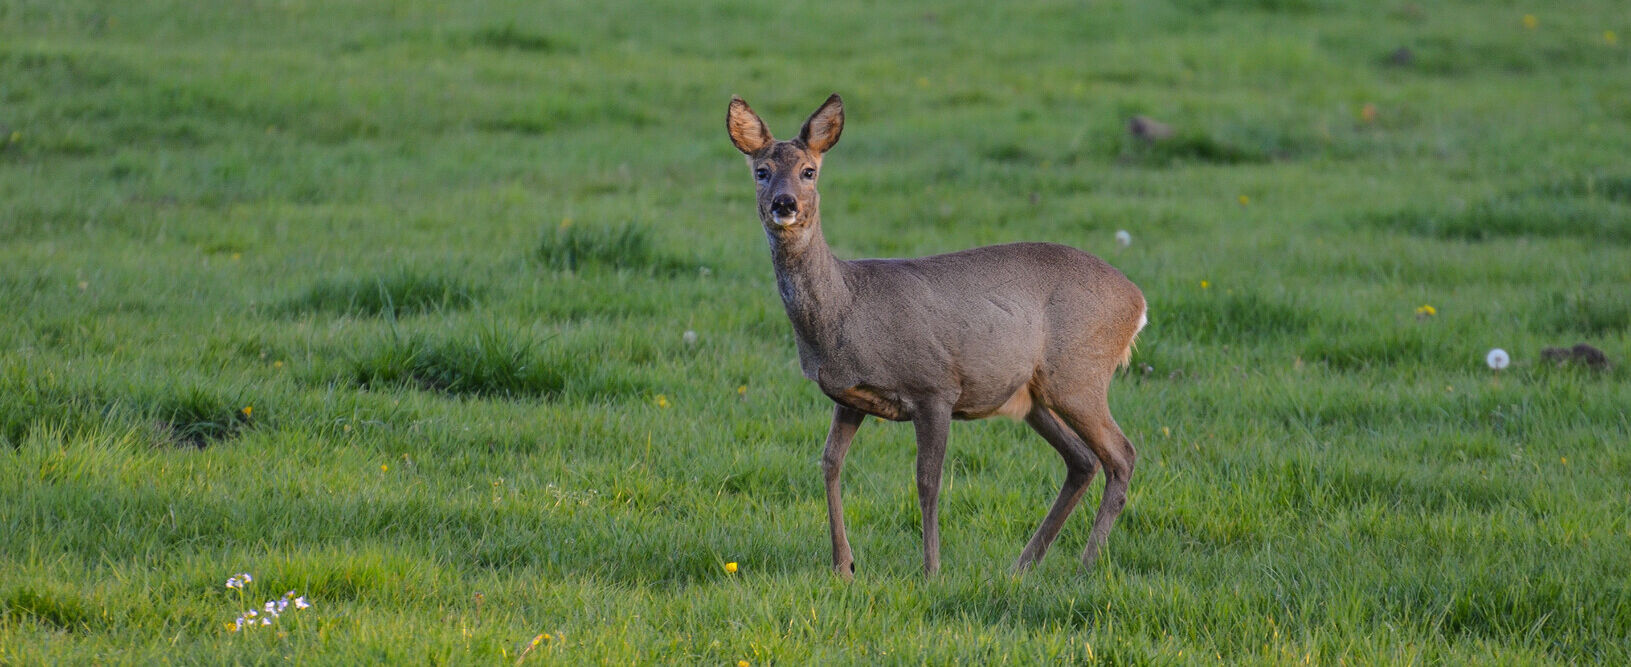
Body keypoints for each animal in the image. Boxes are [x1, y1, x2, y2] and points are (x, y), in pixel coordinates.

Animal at [727, 93, 1148, 577]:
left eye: (809, 171)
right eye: (761, 170)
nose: (785, 203)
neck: (847, 310)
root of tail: (1138, 302)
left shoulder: (935, 387)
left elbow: (927, 480)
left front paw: (931, 570)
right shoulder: (848, 396)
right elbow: (830, 463)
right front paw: (843, 566)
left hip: (1078, 374)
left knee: (1121, 454)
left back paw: (1085, 565)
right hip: (1032, 395)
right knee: (1081, 459)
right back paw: (1024, 564)